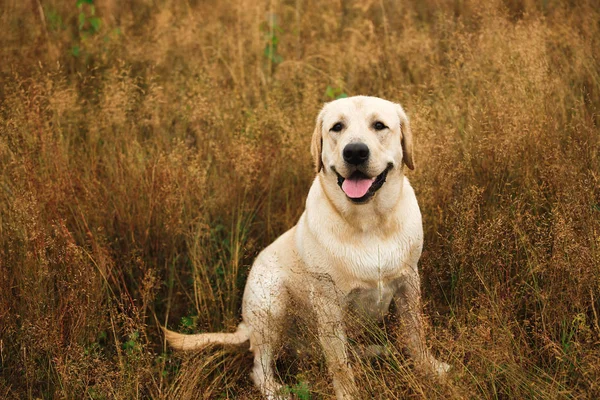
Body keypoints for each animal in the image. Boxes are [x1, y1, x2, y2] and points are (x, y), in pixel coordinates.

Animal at [164, 95, 450, 398]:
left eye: (379, 125)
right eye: (337, 127)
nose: (355, 152)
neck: (368, 224)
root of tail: (245, 326)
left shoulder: (409, 282)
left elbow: (416, 333)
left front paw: (430, 368)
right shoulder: (328, 303)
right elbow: (339, 363)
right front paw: (348, 394)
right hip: (272, 300)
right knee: (260, 366)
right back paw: (275, 389)